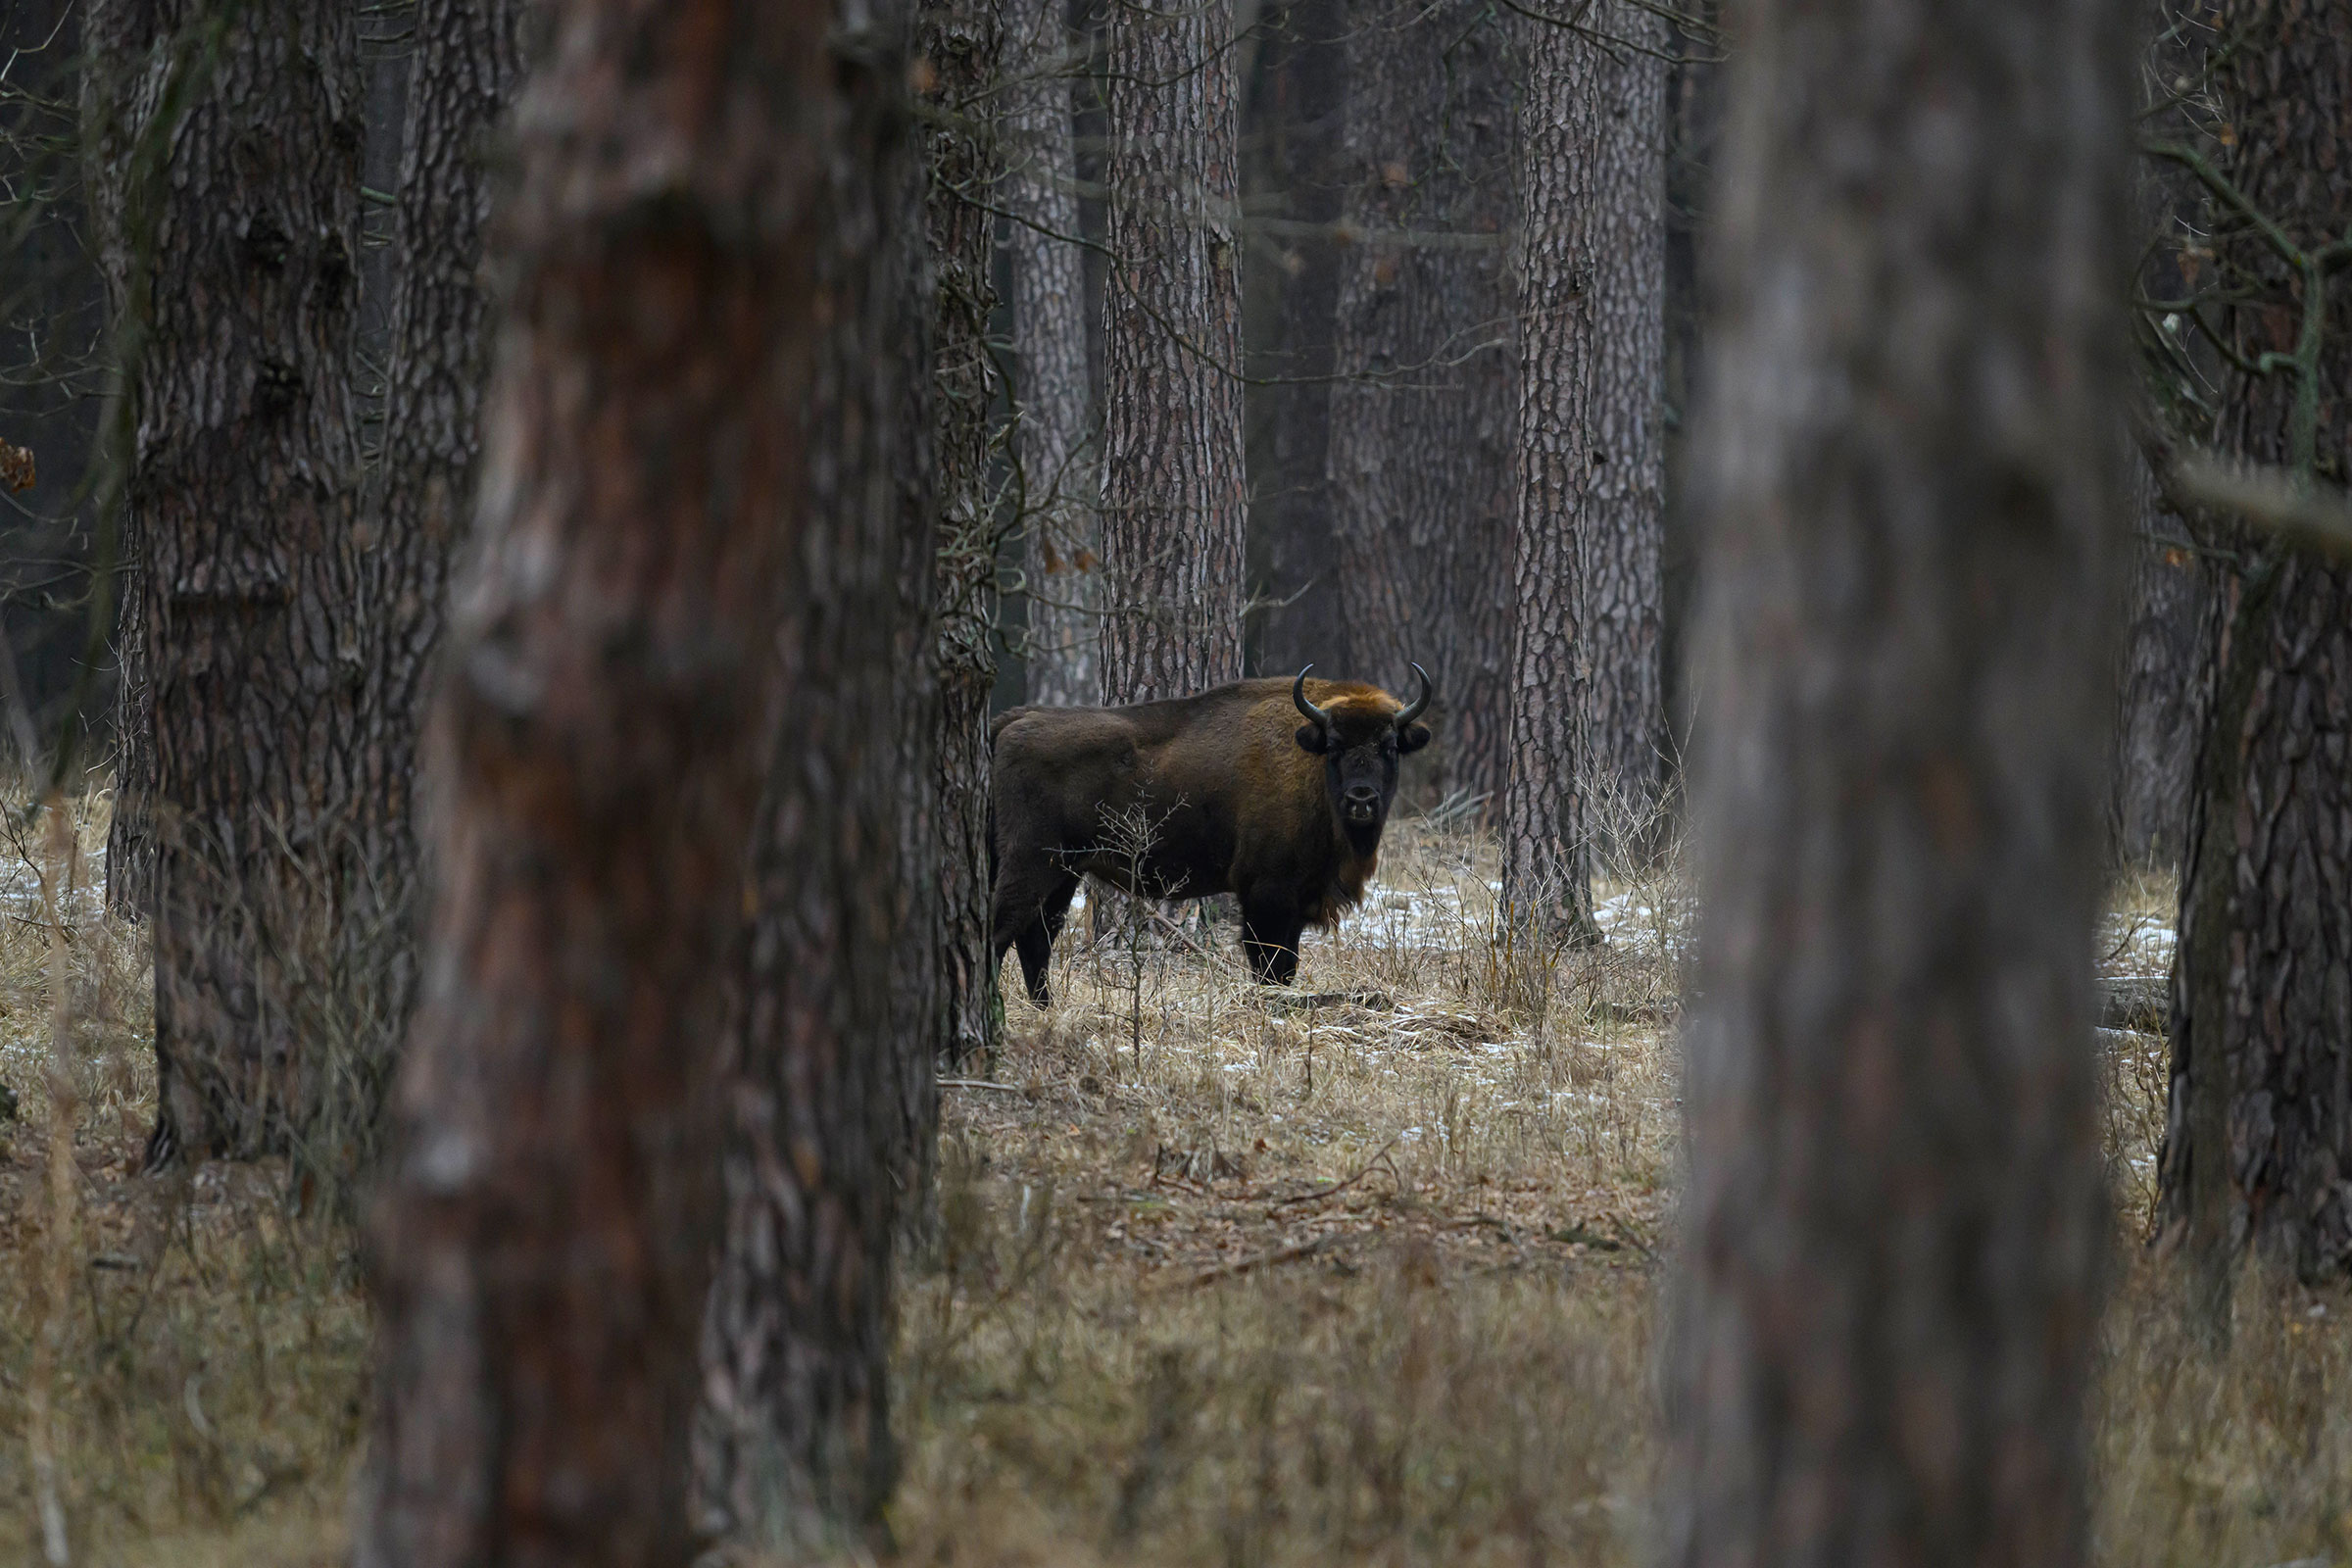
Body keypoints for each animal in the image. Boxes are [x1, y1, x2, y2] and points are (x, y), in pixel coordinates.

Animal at [989, 665, 1434, 999]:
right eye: (1336, 746)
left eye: (1389, 747)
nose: (1362, 799)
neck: (1309, 762)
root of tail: (1013, 722)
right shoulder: (1267, 893)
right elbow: (1271, 963)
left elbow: (1286, 964)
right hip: (1032, 863)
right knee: (1003, 928)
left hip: (1064, 873)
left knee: (1035, 939)